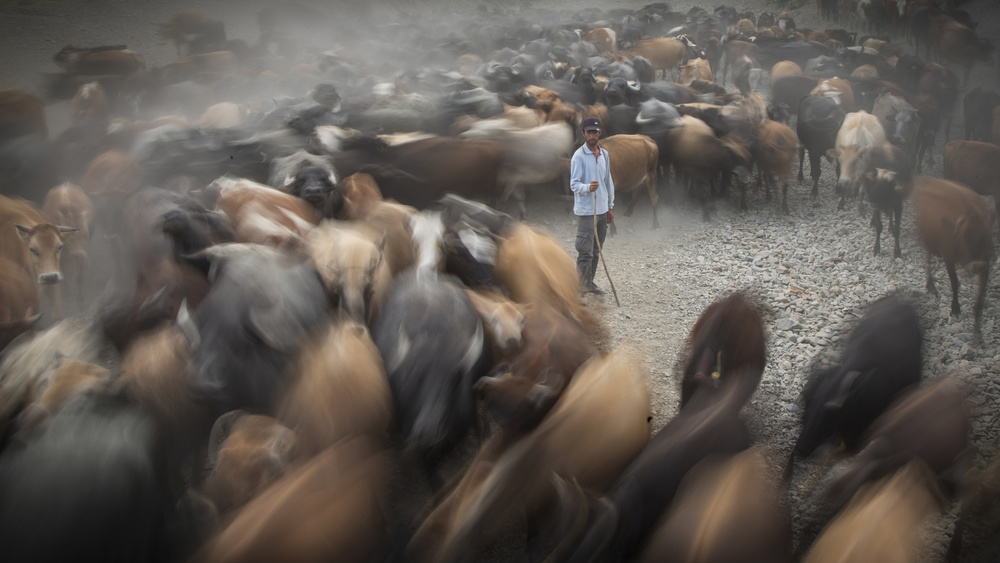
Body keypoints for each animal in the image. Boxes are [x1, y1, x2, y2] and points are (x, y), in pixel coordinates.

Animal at [916, 178, 992, 342]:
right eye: (962, 238)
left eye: (984, 237)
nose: (977, 265)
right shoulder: (948, 257)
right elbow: (954, 282)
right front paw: (955, 309)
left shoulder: (987, 265)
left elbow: (980, 298)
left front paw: (977, 333)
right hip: (928, 239)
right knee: (928, 256)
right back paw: (930, 285)